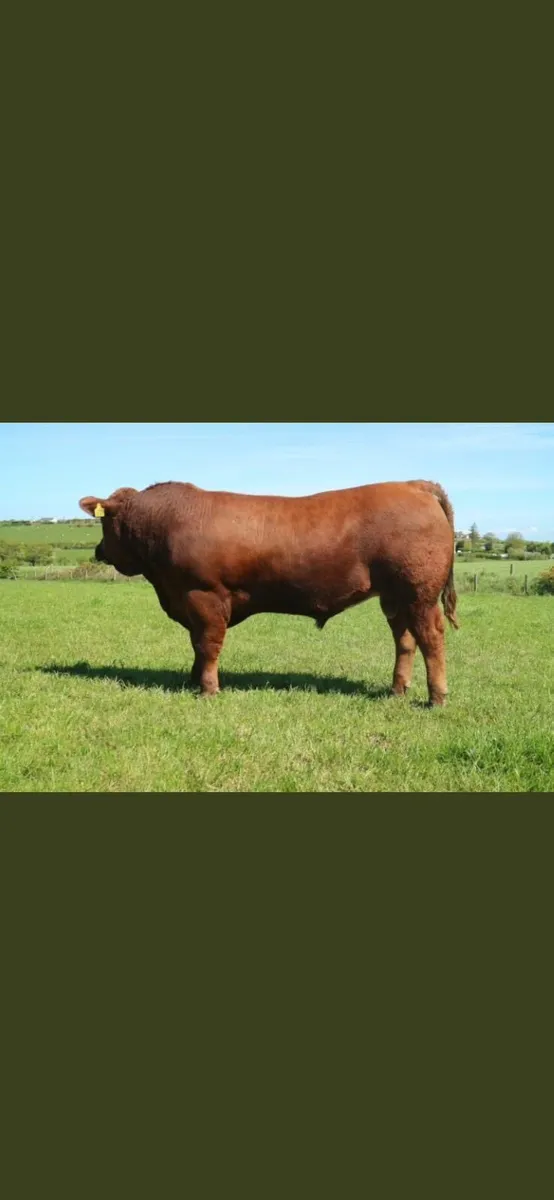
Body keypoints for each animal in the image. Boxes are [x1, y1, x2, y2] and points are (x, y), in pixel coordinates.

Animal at [79, 479, 459, 705]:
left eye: (104, 521)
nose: (98, 550)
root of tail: (413, 486)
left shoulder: (204, 595)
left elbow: (207, 644)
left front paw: (208, 689)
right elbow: (197, 645)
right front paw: (192, 681)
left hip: (420, 593)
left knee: (431, 638)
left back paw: (436, 698)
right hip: (394, 597)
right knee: (404, 639)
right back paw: (396, 691)